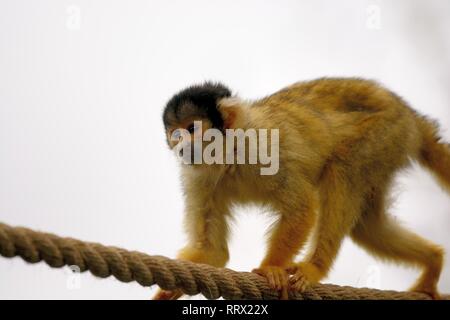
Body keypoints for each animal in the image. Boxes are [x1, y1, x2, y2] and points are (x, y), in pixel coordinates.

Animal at [153, 78, 448, 300]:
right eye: (175, 135)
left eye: (192, 128)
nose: (182, 146)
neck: (228, 156)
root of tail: (409, 114)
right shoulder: (196, 178)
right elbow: (212, 250)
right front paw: (168, 292)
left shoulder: (261, 147)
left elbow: (301, 207)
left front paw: (270, 268)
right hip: (390, 147)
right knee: (367, 226)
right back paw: (433, 261)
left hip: (385, 132)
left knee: (343, 170)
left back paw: (314, 267)